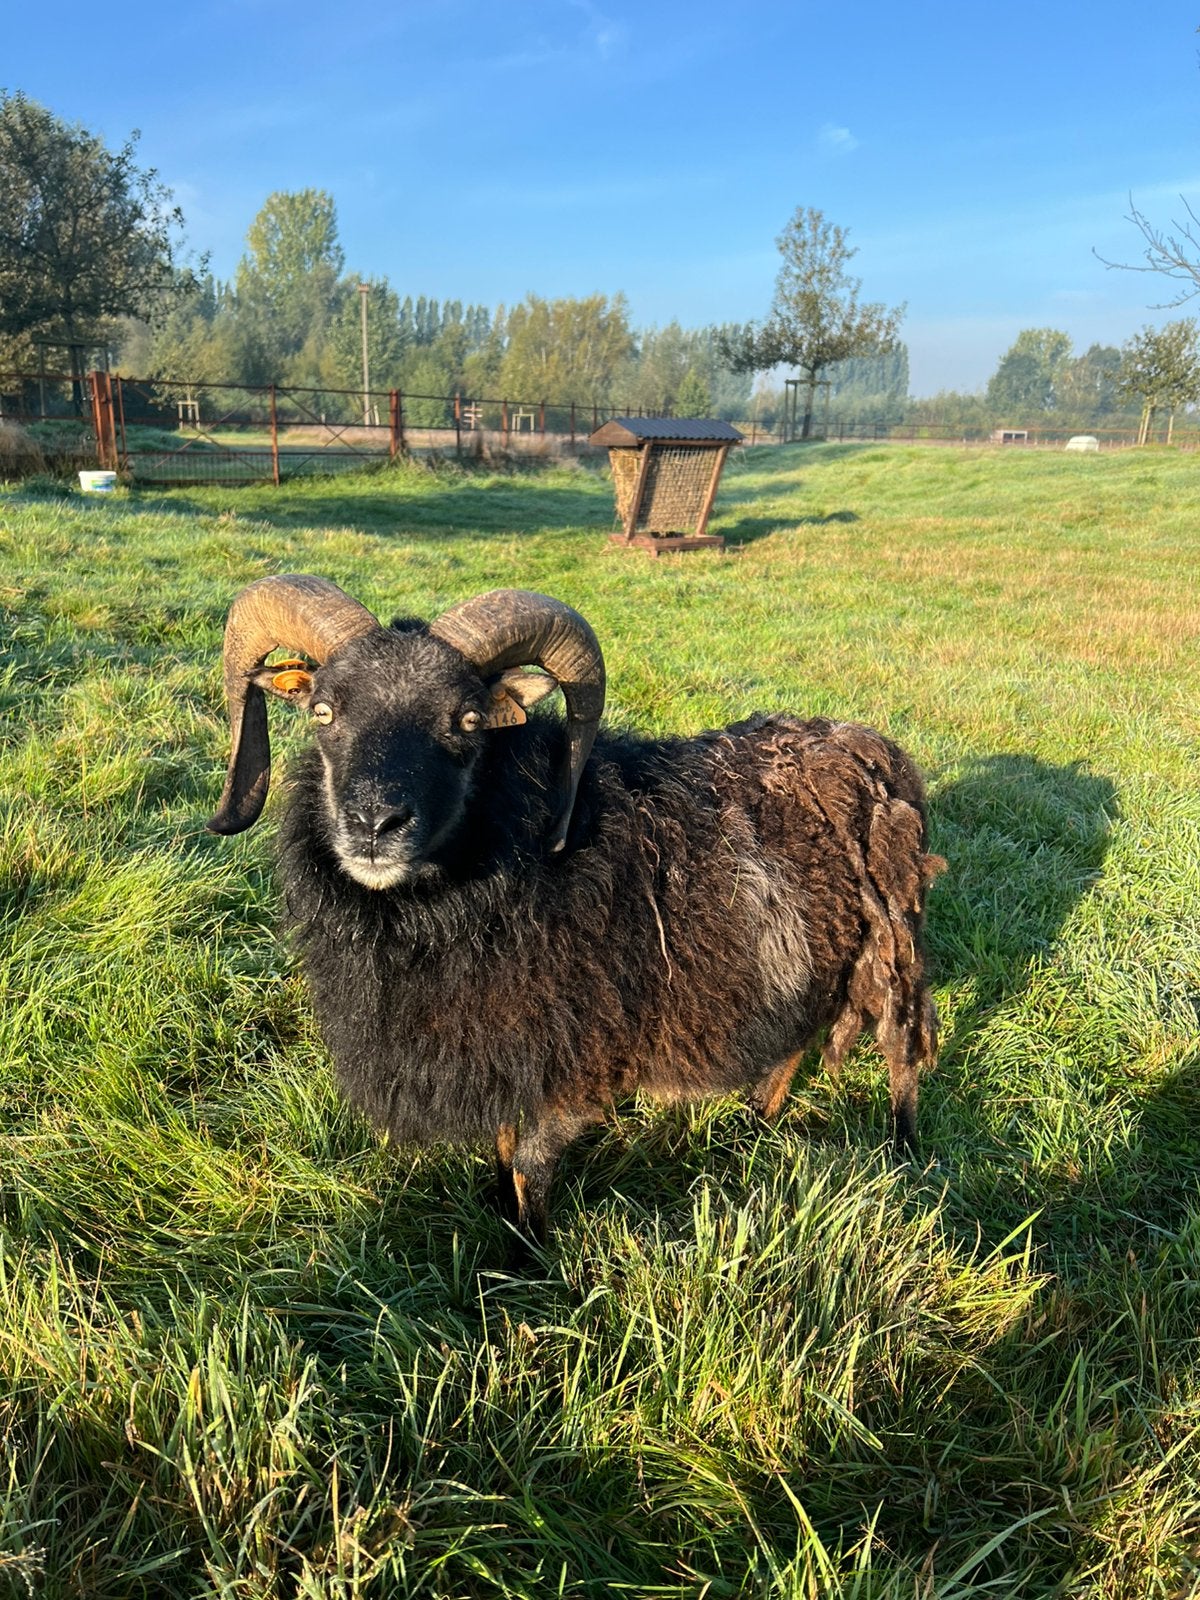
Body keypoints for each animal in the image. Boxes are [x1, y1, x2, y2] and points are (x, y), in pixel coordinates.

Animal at [207, 575, 943, 1243]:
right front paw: (501, 1219)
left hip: (891, 944)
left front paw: (528, 1260)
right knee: (794, 1040)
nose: (373, 823)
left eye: (467, 720)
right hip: (811, 954)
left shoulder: (574, 1059)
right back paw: (757, 1127)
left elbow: (531, 1165)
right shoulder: (504, 1045)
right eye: (323, 712)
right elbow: (503, 1149)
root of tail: (869, 745)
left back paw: (905, 1160)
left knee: (902, 1057)